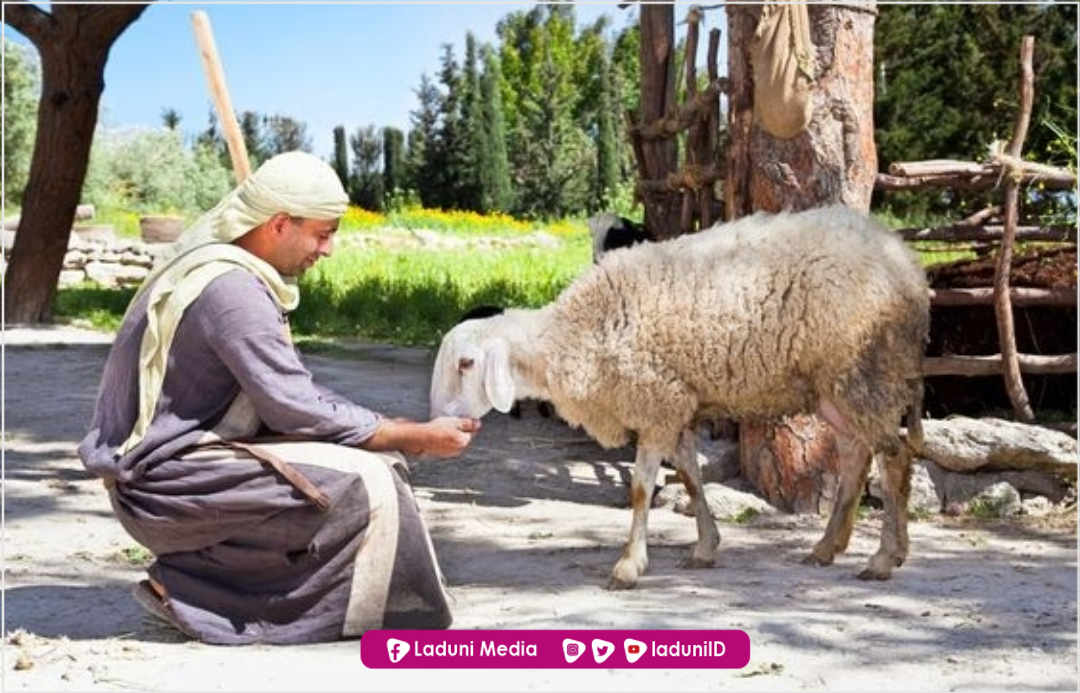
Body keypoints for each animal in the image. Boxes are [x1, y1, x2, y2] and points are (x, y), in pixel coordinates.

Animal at [429, 205, 928, 587]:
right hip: (834, 388)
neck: (573, 337)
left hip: (864, 372)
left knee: (894, 457)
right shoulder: (676, 406)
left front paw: (629, 566)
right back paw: (827, 547)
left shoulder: (655, 404)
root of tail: (907, 264)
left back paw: (884, 558)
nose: (442, 422)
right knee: (856, 457)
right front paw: (705, 546)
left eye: (466, 364)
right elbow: (690, 476)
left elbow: (640, 488)